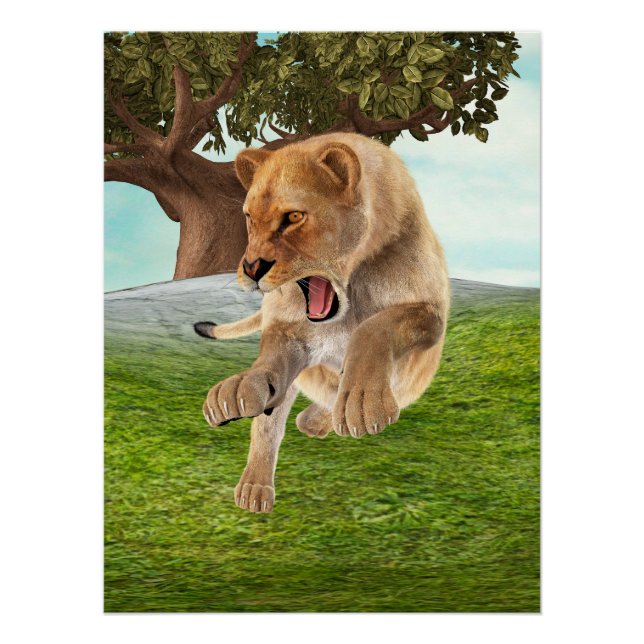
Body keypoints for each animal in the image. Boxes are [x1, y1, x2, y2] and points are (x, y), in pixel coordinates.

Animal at [193, 132, 450, 513]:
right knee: (271, 422)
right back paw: (255, 487)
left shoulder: (431, 313)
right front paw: (240, 388)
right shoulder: (288, 330)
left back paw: (317, 418)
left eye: (294, 216)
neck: (351, 290)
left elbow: (375, 327)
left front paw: (362, 402)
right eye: (249, 217)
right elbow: (270, 373)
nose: (252, 268)